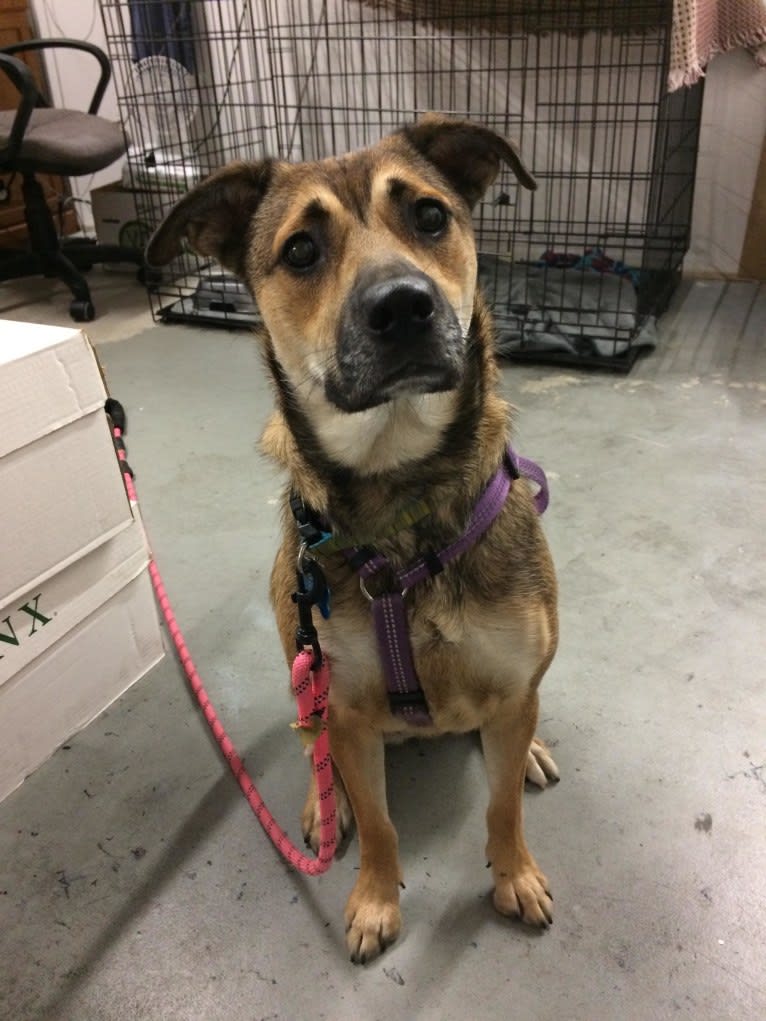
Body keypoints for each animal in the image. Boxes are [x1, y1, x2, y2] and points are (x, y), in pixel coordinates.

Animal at [147, 115, 559, 959]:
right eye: (302, 250)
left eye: (430, 216)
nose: (402, 306)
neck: (402, 497)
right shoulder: (350, 710)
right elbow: (376, 823)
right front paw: (374, 898)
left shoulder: (510, 688)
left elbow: (501, 804)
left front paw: (514, 874)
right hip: (305, 677)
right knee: (318, 749)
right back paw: (318, 801)